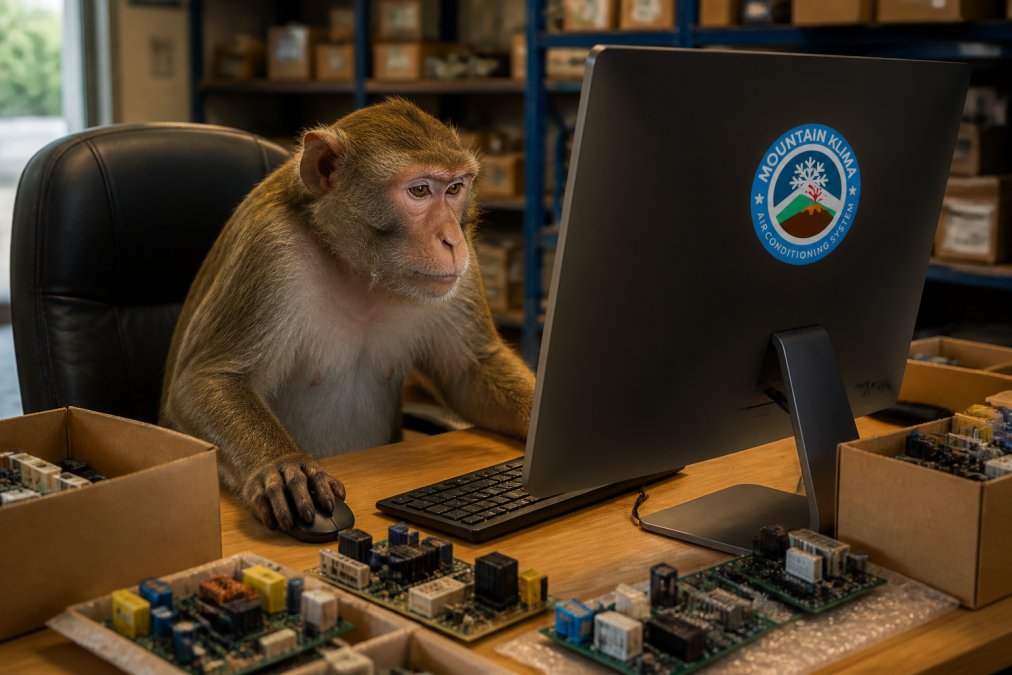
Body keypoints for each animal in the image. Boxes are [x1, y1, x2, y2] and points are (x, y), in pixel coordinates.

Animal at [159, 98, 535, 532]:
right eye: (420, 190)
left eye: (455, 188)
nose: (452, 240)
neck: (355, 266)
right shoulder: (269, 248)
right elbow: (205, 380)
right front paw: (282, 465)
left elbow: (469, 371)